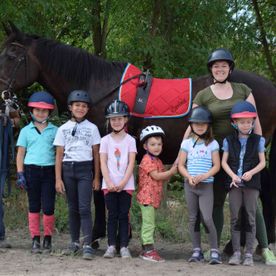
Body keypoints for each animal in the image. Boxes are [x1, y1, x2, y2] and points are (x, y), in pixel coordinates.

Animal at [1, 22, 276, 244]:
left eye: (12, 55)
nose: (2, 91)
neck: (100, 86)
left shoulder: (101, 148)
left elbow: (99, 190)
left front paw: (100, 235)